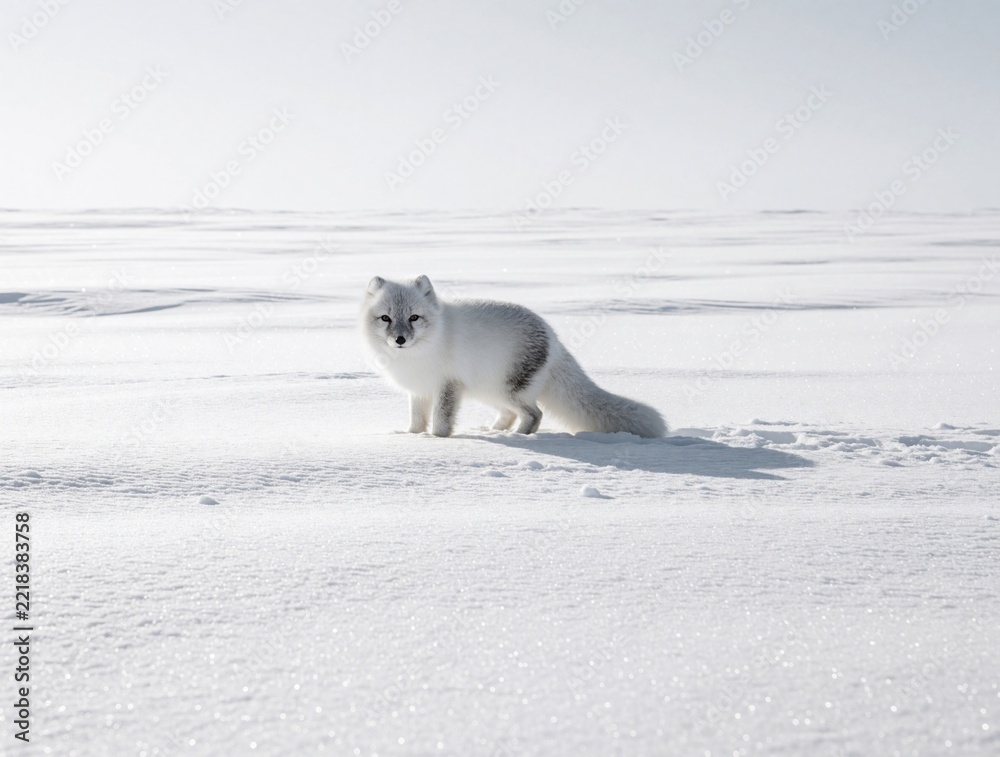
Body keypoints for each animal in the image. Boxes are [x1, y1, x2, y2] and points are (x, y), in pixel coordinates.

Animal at [360, 275, 666, 438]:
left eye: (414, 317)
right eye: (386, 318)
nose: (400, 340)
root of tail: (553, 337)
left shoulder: (447, 386)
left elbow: (441, 419)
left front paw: (437, 439)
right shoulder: (419, 390)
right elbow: (416, 419)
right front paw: (412, 437)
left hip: (508, 390)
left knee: (535, 413)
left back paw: (518, 436)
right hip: (488, 391)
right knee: (509, 414)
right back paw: (494, 431)